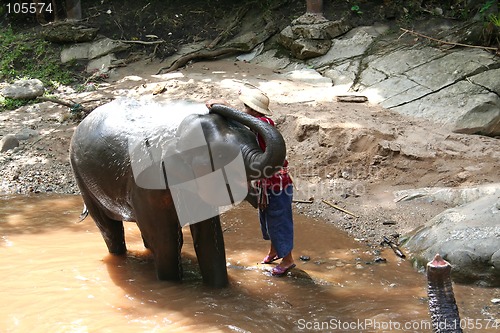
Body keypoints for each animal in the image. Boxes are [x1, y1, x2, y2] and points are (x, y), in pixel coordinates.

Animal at [71, 97, 288, 286]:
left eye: (254, 138)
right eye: (221, 156)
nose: (212, 105)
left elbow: (209, 236)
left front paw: (219, 290)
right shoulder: (147, 181)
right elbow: (165, 239)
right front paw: (172, 285)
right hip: (82, 180)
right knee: (110, 230)